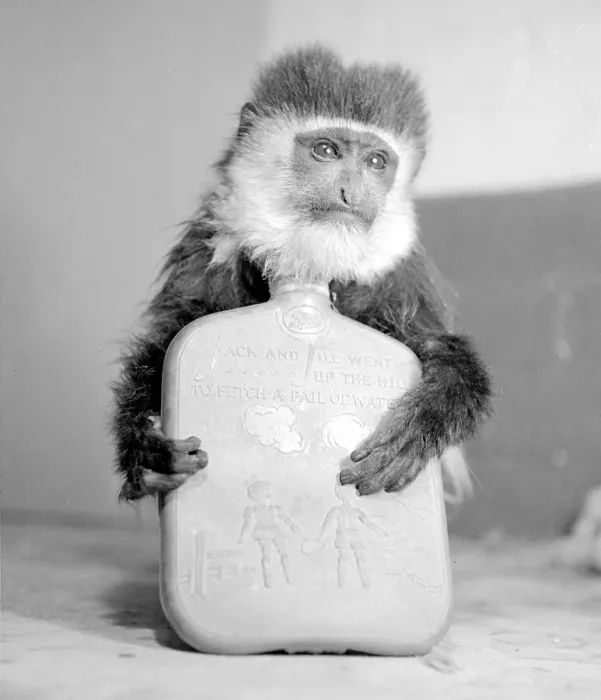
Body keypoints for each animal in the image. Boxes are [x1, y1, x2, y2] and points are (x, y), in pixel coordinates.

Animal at [111, 45, 493, 503]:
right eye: (326, 151)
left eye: (376, 162)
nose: (350, 193)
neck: (311, 268)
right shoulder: (206, 249)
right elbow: (172, 333)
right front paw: (145, 443)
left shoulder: (399, 279)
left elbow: (436, 346)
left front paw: (422, 420)